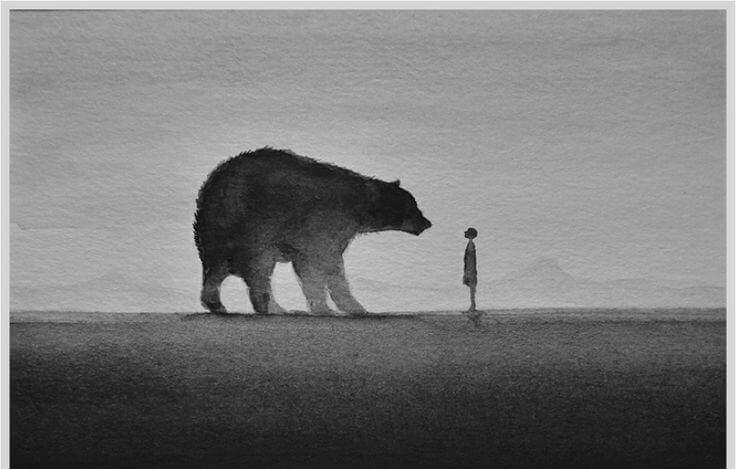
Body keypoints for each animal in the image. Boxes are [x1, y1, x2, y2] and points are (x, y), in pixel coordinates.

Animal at [193, 147, 432, 316]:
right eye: (412, 207)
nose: (427, 223)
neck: (356, 206)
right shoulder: (321, 224)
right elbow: (325, 265)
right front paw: (348, 307)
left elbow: (309, 268)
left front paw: (323, 306)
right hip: (251, 229)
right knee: (258, 270)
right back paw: (274, 308)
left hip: (218, 234)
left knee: (217, 269)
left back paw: (219, 304)